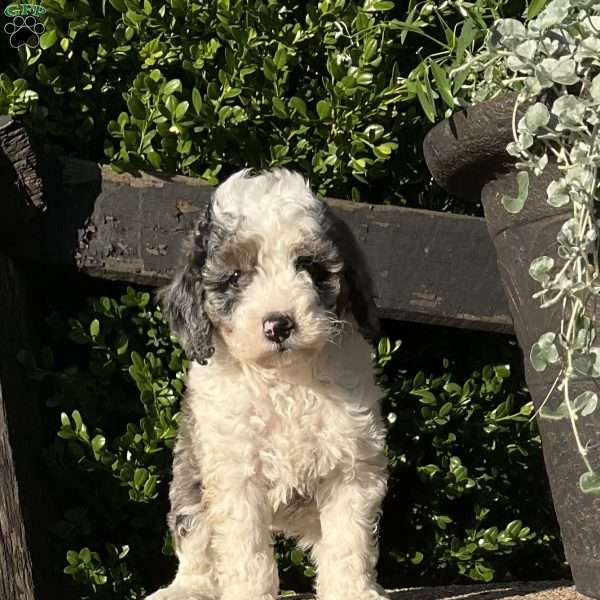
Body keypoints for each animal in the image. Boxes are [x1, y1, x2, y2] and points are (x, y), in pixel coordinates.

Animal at [147, 168, 386, 600]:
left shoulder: (352, 466)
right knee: (194, 538)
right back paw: (186, 588)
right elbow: (247, 554)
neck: (285, 379)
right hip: (190, 476)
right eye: (235, 277)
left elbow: (350, 542)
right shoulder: (234, 472)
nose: (279, 324)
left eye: (309, 266)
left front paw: (353, 592)